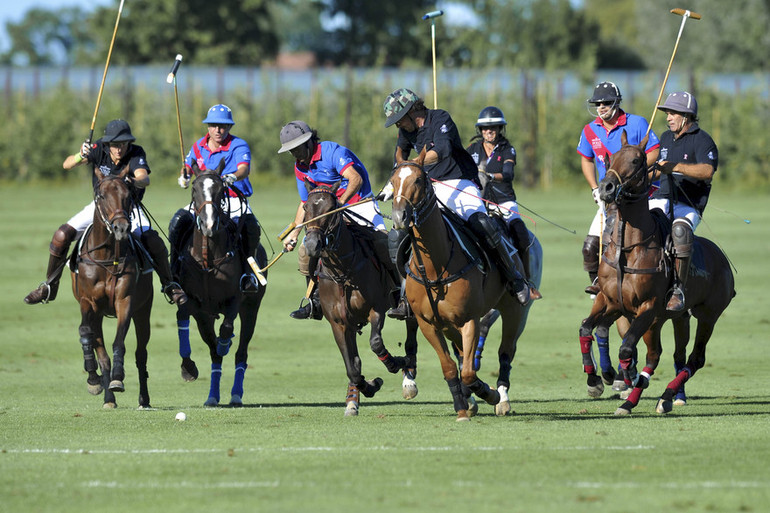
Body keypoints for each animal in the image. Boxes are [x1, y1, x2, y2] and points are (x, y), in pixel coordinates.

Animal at [73, 168, 154, 408]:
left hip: (143, 310)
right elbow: (85, 333)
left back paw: (143, 399)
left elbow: (119, 341)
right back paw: (108, 397)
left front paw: (118, 378)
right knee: (101, 351)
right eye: (101, 196)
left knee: (141, 354)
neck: (107, 256)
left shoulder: (124, 300)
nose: (121, 228)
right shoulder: (88, 302)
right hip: (98, 314)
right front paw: (93, 378)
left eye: (128, 196)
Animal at [302, 182, 420, 414]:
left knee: (411, 337)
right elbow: (353, 366)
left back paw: (409, 376)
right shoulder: (339, 323)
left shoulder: (377, 309)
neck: (343, 271)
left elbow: (376, 343)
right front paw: (365, 389)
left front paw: (395, 363)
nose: (311, 245)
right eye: (306, 209)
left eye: (331, 209)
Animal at [390, 149, 540, 420]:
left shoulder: (470, 319)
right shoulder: (428, 324)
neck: (435, 266)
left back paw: (501, 397)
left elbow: (470, 371)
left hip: (515, 311)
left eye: (418, 180)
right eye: (393, 181)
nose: (399, 217)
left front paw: (488, 393)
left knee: (505, 352)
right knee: (462, 354)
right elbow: (450, 366)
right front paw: (462, 406)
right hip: (450, 325)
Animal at [576, 130, 732, 414]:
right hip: (674, 317)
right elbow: (586, 329)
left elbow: (626, 348)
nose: (606, 188)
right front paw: (595, 380)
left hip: (708, 314)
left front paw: (626, 378)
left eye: (637, 160)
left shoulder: (647, 306)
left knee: (695, 358)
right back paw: (654, 396)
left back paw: (662, 395)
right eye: (612, 156)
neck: (629, 247)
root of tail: (722, 257)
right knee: (668, 354)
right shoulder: (610, 301)